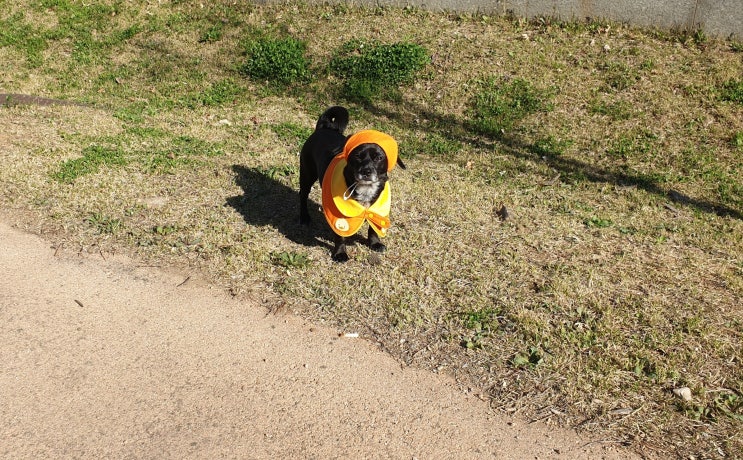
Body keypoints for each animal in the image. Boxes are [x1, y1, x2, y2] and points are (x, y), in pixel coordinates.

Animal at [300, 105, 406, 262]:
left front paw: (375, 243)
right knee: (302, 195)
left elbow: (373, 229)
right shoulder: (340, 213)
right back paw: (304, 217)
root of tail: (325, 128)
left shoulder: (377, 210)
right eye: (358, 156)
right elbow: (341, 236)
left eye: (379, 158)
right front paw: (340, 253)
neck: (366, 189)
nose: (366, 171)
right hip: (307, 174)